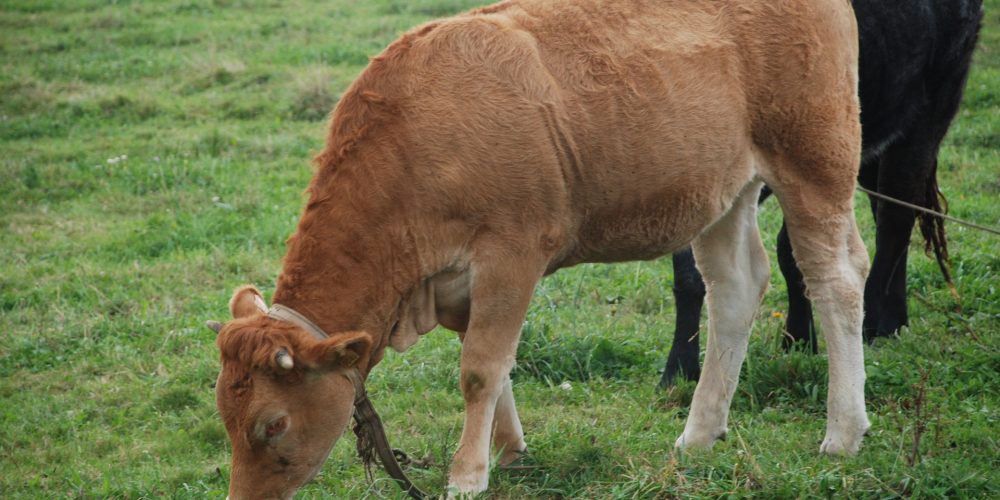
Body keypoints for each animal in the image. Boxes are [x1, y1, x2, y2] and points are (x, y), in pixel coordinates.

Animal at [209, 0, 868, 496]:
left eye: (272, 424)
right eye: (224, 417)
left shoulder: (512, 251)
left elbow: (480, 368)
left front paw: (467, 476)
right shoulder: (459, 282)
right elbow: (493, 363)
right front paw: (509, 449)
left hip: (815, 158)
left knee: (835, 277)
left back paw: (842, 433)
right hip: (724, 190)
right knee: (735, 287)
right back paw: (699, 434)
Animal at [660, 0, 980, 386]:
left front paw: (798, 339)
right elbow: (691, 272)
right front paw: (680, 370)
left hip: (927, 117)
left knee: (895, 223)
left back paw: (876, 324)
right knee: (887, 214)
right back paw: (896, 320)